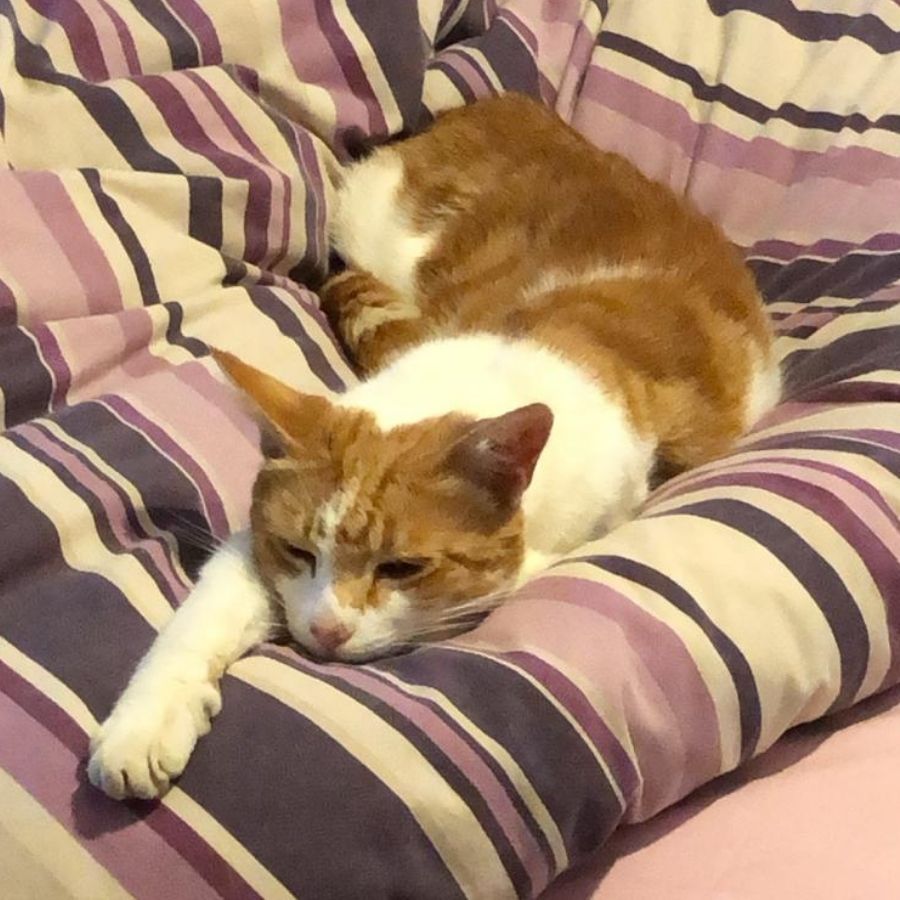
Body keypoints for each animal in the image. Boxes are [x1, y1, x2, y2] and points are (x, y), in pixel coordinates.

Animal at [89, 89, 780, 796]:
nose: (325, 632)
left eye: (402, 568)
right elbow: (198, 620)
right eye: (297, 551)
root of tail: (507, 104)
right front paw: (142, 729)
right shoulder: (253, 549)